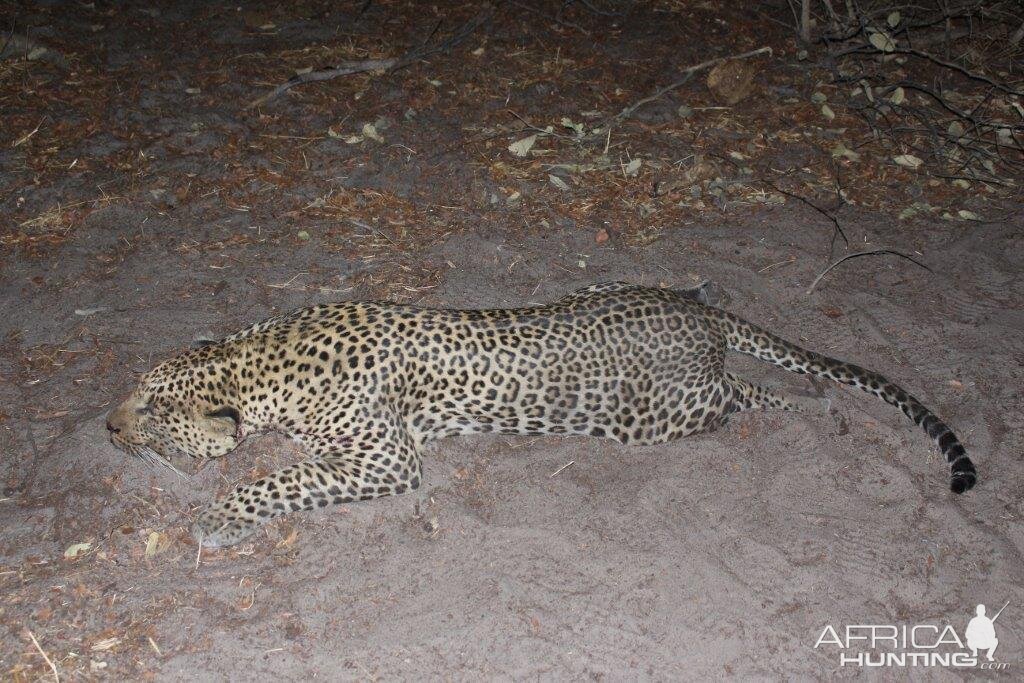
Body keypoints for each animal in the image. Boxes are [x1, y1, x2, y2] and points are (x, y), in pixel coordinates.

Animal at [108, 280, 978, 548]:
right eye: (133, 394)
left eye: (151, 408)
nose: (107, 428)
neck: (266, 355)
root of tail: (693, 309)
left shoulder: (385, 458)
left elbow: (280, 478)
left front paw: (223, 516)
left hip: (666, 412)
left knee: (752, 394)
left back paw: (817, 408)